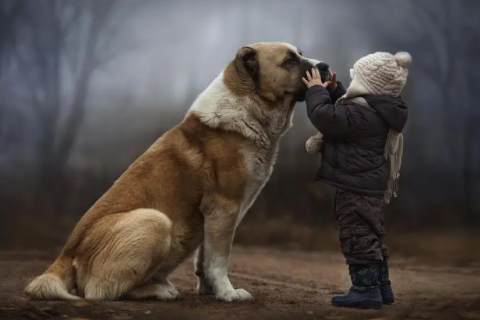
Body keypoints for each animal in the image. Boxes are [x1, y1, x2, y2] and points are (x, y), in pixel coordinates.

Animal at [25, 42, 326, 302]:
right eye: (289, 60)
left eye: (300, 54)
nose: (324, 66)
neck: (248, 107)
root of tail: (65, 255)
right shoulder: (224, 208)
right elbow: (219, 259)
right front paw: (228, 293)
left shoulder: (215, 217)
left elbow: (205, 258)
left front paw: (210, 290)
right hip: (155, 221)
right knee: (101, 291)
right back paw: (160, 290)